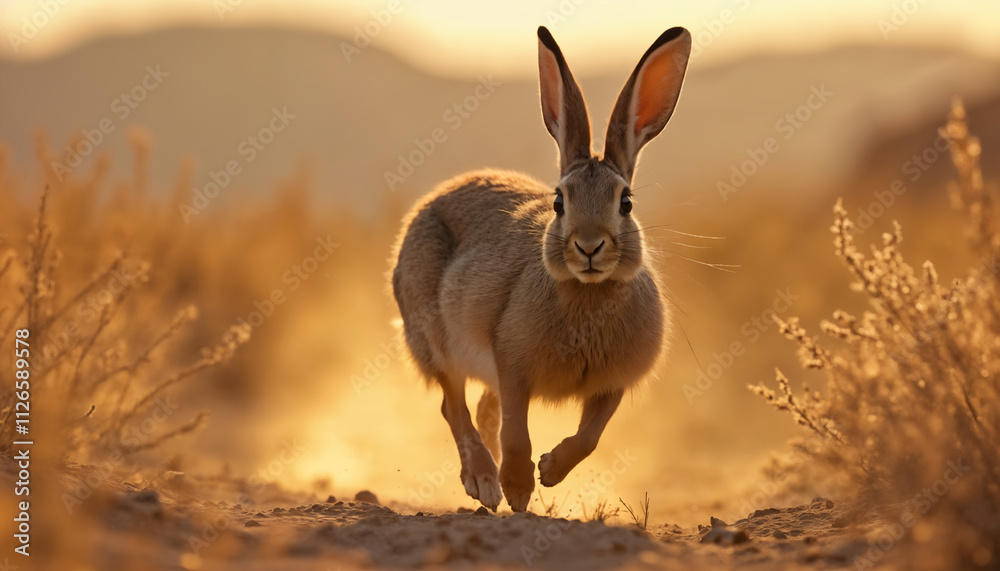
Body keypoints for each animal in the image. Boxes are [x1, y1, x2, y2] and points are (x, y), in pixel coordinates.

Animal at [391, 25, 691, 512]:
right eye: (558, 203)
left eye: (626, 203)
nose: (588, 246)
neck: (589, 292)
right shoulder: (512, 364)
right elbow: (517, 432)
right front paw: (517, 489)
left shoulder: (611, 385)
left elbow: (590, 437)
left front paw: (549, 470)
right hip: (433, 339)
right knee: (454, 406)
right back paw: (485, 482)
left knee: (478, 410)